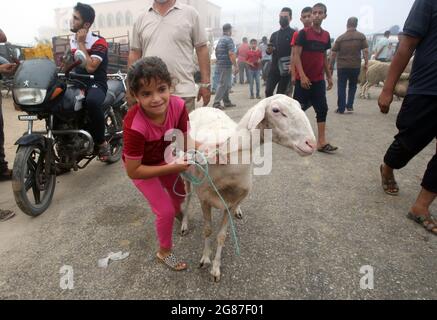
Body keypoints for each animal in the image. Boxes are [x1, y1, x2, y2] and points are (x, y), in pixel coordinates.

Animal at [179, 95, 316, 282]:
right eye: (276, 110)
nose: (312, 144)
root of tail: (204, 107)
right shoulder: (205, 199)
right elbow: (207, 231)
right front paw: (205, 258)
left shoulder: (229, 203)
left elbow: (221, 236)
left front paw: (215, 268)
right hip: (186, 176)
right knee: (187, 197)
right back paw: (184, 223)